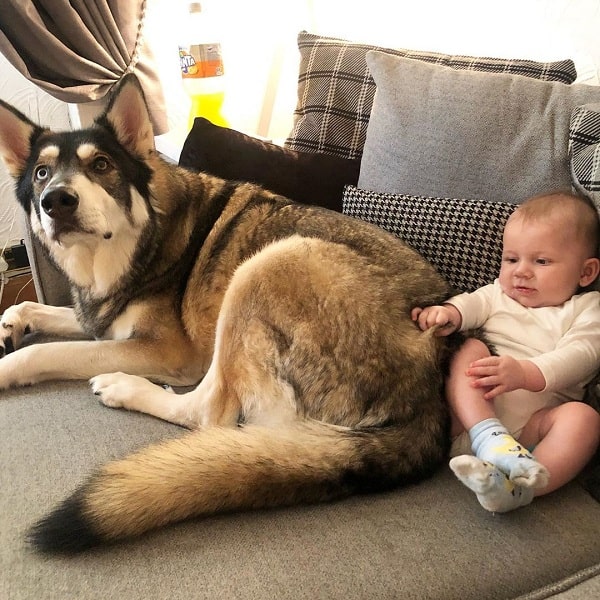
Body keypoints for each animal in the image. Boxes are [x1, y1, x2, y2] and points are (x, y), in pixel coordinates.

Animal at [0, 74, 458, 552]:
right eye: (41, 173)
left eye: (102, 165)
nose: (56, 201)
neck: (133, 242)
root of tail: (432, 390)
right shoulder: (102, 319)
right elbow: (42, 307)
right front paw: (12, 323)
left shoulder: (164, 351)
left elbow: (47, 352)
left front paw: (7, 367)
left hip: (269, 263)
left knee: (206, 414)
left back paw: (125, 387)